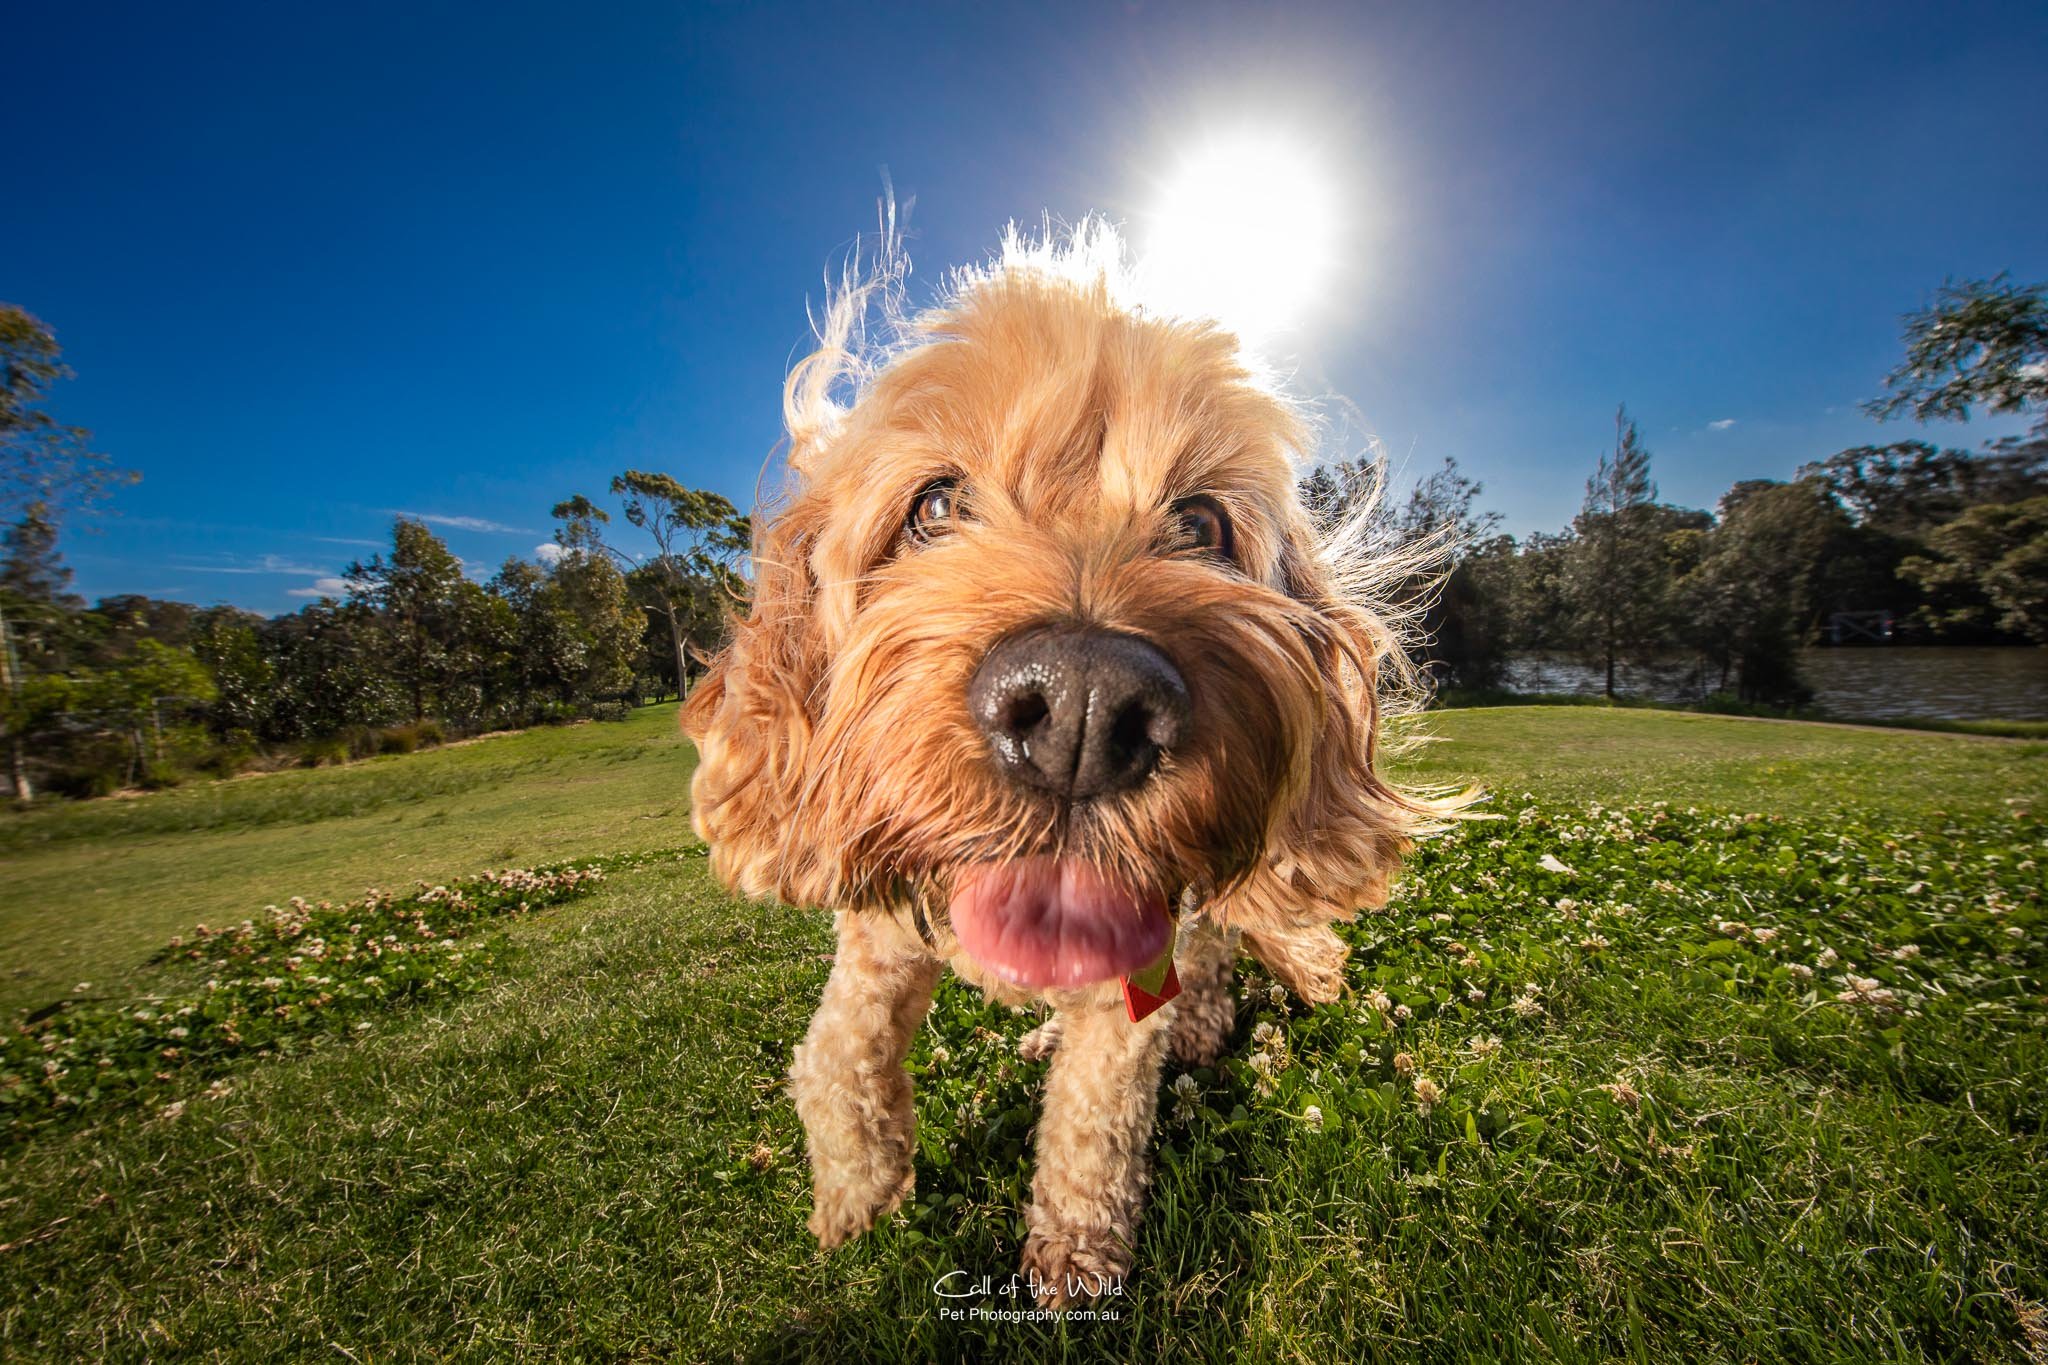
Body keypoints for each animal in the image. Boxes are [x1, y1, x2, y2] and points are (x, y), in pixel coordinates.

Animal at [679, 227, 1433, 1309]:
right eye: (935, 504)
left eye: (1200, 523)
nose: (1083, 707)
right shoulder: (874, 939)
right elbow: (834, 1054)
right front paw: (856, 1192)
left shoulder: (1131, 971)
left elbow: (1094, 1121)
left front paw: (1073, 1257)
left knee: (1219, 951)